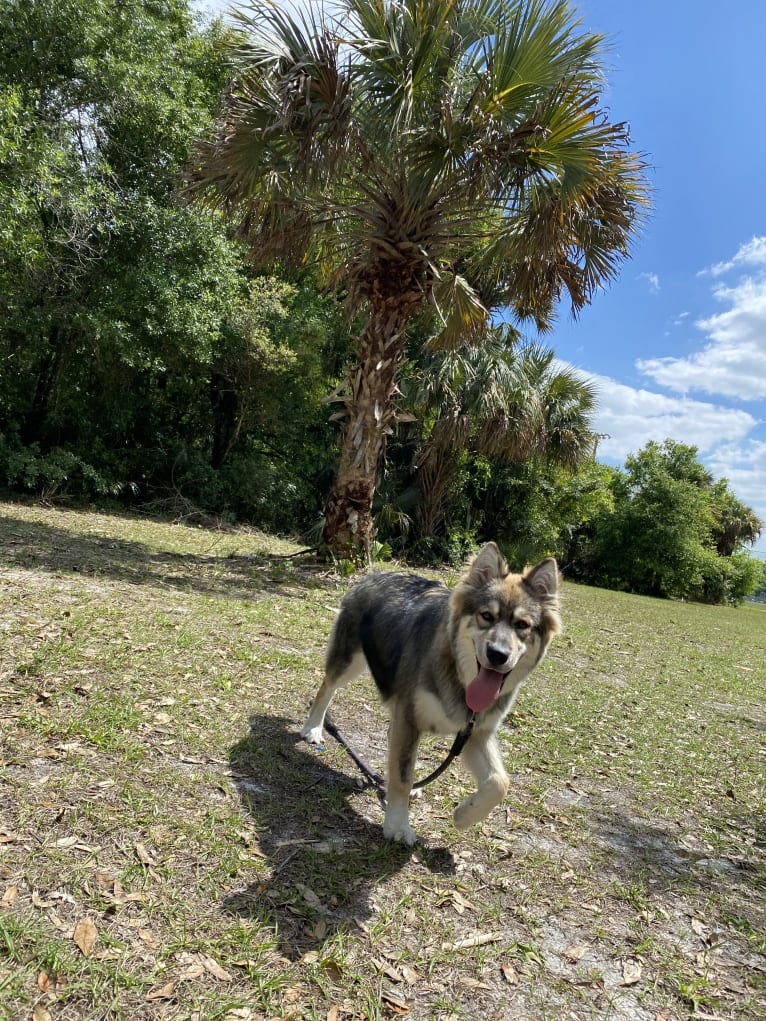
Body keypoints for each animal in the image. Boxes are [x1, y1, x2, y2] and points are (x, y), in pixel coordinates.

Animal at [302, 543, 559, 845]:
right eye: (486, 616)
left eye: (522, 625)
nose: (498, 655)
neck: (460, 676)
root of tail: (377, 573)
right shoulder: (410, 717)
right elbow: (402, 776)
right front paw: (398, 825)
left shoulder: (474, 732)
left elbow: (499, 782)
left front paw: (464, 815)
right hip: (348, 661)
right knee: (326, 689)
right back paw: (313, 728)